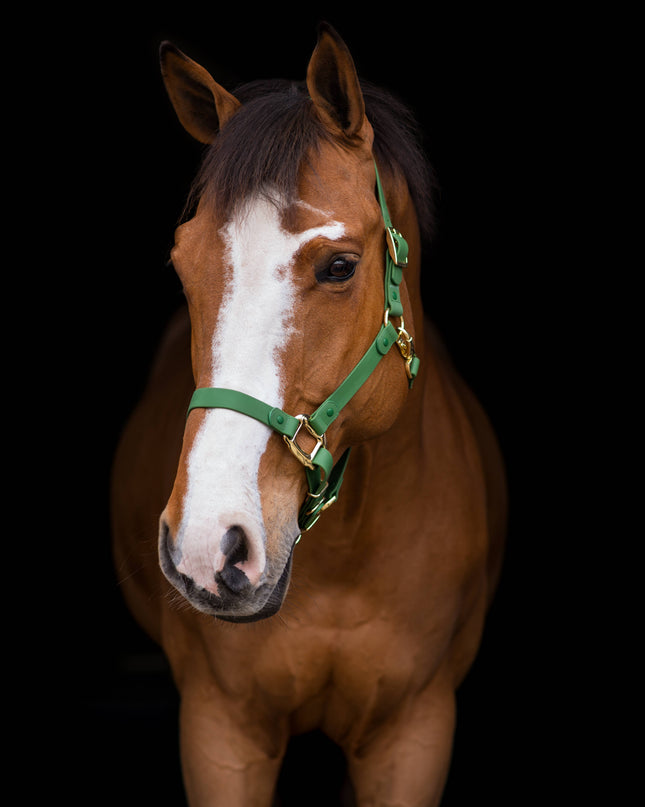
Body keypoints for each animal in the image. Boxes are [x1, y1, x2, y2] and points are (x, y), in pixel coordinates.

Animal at [111, 23, 507, 806]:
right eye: (182, 264)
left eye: (339, 267)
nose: (209, 547)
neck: (346, 556)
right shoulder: (220, 732)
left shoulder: (413, 735)